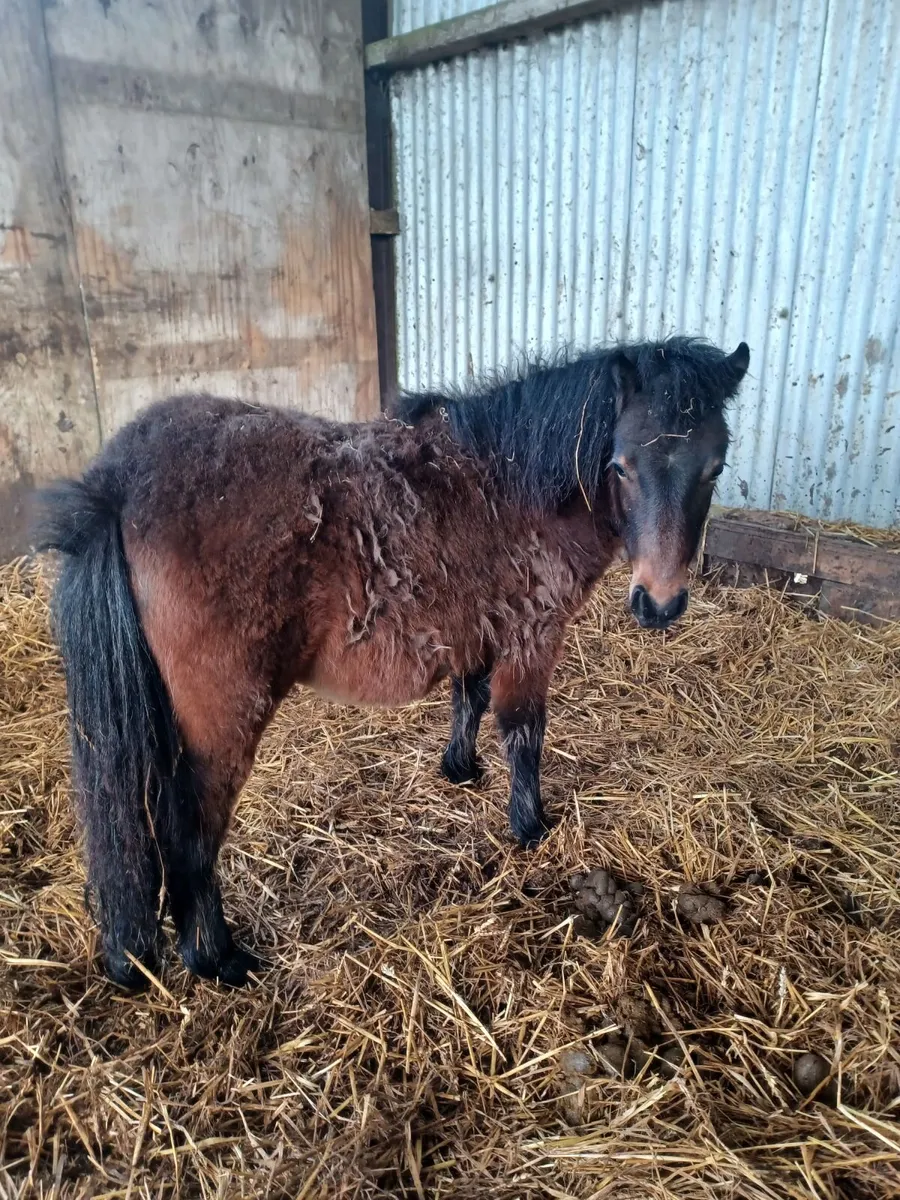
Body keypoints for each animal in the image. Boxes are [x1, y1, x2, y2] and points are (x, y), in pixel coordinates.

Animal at [35, 336, 750, 989]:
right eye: (622, 466)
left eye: (714, 467)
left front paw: (460, 770)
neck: (513, 481)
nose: (659, 602)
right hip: (221, 723)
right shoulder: (533, 636)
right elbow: (523, 731)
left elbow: (470, 697)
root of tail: (118, 485)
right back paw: (217, 959)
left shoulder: (476, 627)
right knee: (190, 834)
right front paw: (530, 828)